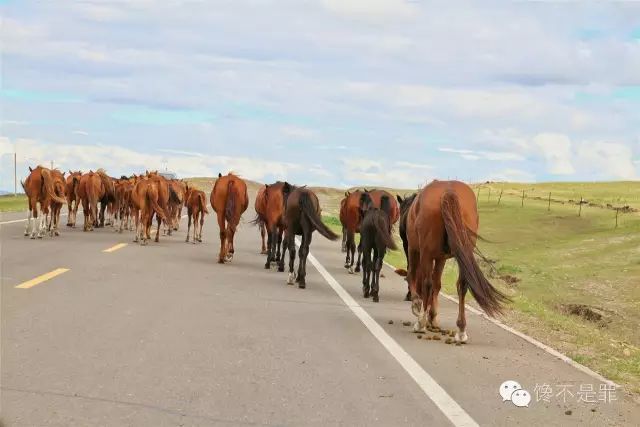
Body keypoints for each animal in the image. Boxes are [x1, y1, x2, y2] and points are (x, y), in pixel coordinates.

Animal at [400, 181, 510, 344]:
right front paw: (433, 316)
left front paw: (417, 306)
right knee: (462, 285)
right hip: (462, 251)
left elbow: (413, 276)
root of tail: (448, 190)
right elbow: (437, 284)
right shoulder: (441, 258)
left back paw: (421, 322)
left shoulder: (414, 249)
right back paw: (461, 330)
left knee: (426, 282)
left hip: (425, 253)